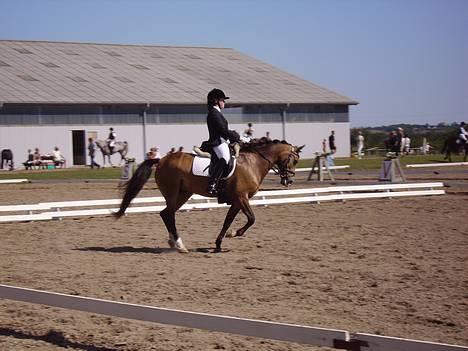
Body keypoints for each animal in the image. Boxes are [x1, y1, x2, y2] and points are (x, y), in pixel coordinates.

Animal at [113, 140, 304, 253]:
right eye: (294, 160)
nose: (289, 181)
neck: (253, 163)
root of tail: (160, 160)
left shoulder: (237, 201)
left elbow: (227, 221)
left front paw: (219, 243)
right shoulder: (242, 197)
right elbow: (251, 219)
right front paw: (235, 233)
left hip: (184, 193)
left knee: (166, 214)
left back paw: (173, 242)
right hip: (173, 192)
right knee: (168, 214)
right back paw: (180, 245)